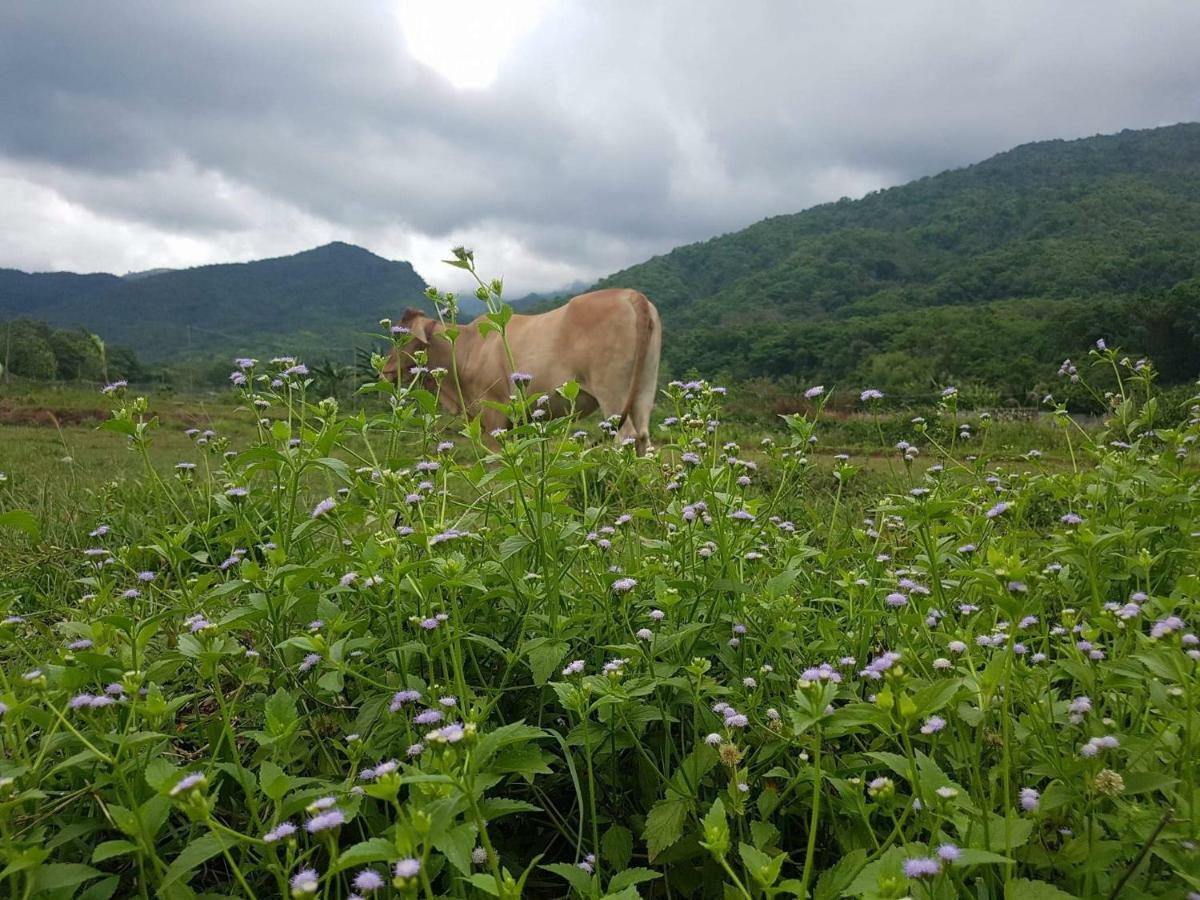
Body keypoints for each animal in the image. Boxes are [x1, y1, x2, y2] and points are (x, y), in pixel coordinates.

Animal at [384, 289, 662, 453]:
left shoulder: (493, 415)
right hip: (645, 386)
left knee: (626, 436)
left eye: (401, 336)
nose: (384, 371)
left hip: (611, 391)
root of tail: (630, 295)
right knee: (643, 436)